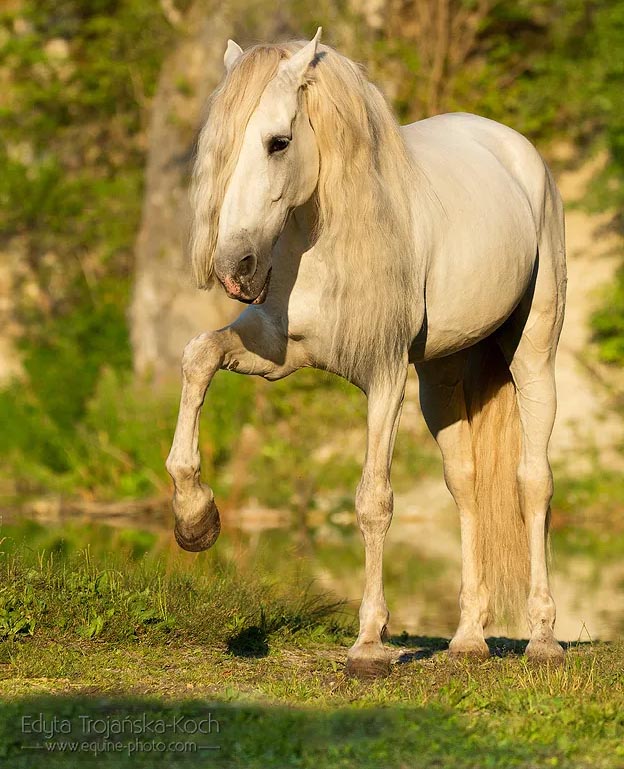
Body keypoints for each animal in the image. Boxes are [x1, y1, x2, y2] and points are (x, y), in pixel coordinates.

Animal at [166, 30, 564, 676]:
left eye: (279, 142)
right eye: (217, 148)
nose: (235, 268)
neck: (322, 239)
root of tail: (513, 147)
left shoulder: (384, 377)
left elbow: (373, 501)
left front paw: (370, 645)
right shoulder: (276, 352)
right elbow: (199, 357)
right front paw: (195, 518)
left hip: (533, 357)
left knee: (533, 482)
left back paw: (544, 639)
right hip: (440, 381)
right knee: (466, 484)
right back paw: (469, 639)